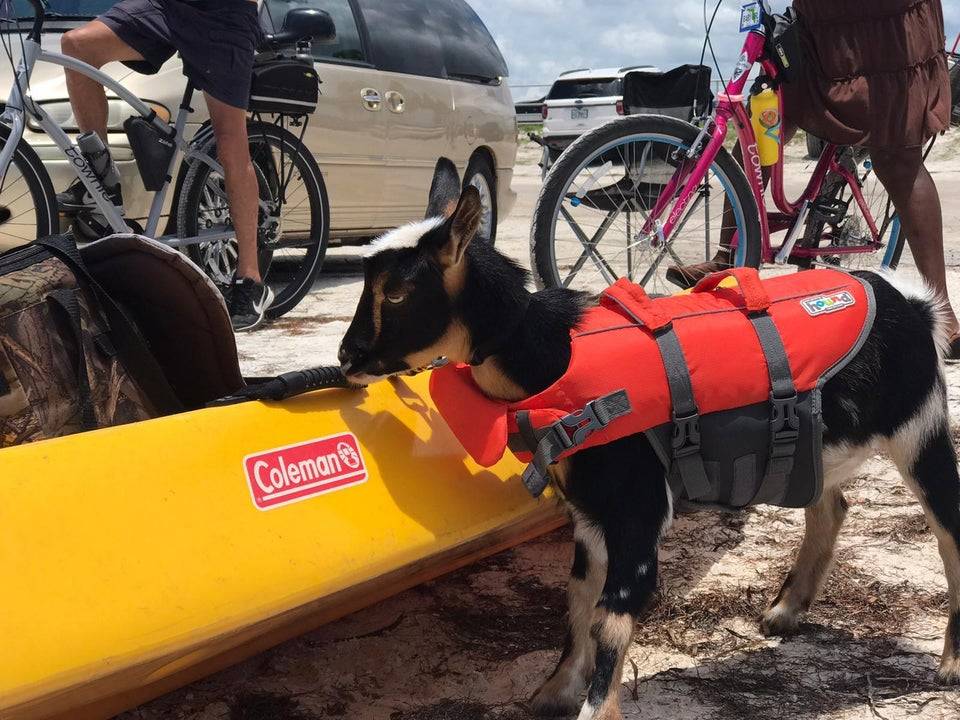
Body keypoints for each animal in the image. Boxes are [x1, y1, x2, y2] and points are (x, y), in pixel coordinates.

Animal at [339, 158, 960, 720]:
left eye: (399, 291)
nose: (347, 358)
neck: (554, 356)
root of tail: (911, 301)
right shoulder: (589, 513)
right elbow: (577, 602)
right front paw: (553, 692)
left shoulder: (637, 507)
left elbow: (611, 622)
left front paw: (592, 706)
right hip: (815, 449)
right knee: (830, 505)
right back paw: (785, 612)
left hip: (921, 429)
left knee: (949, 528)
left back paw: (949, 664)